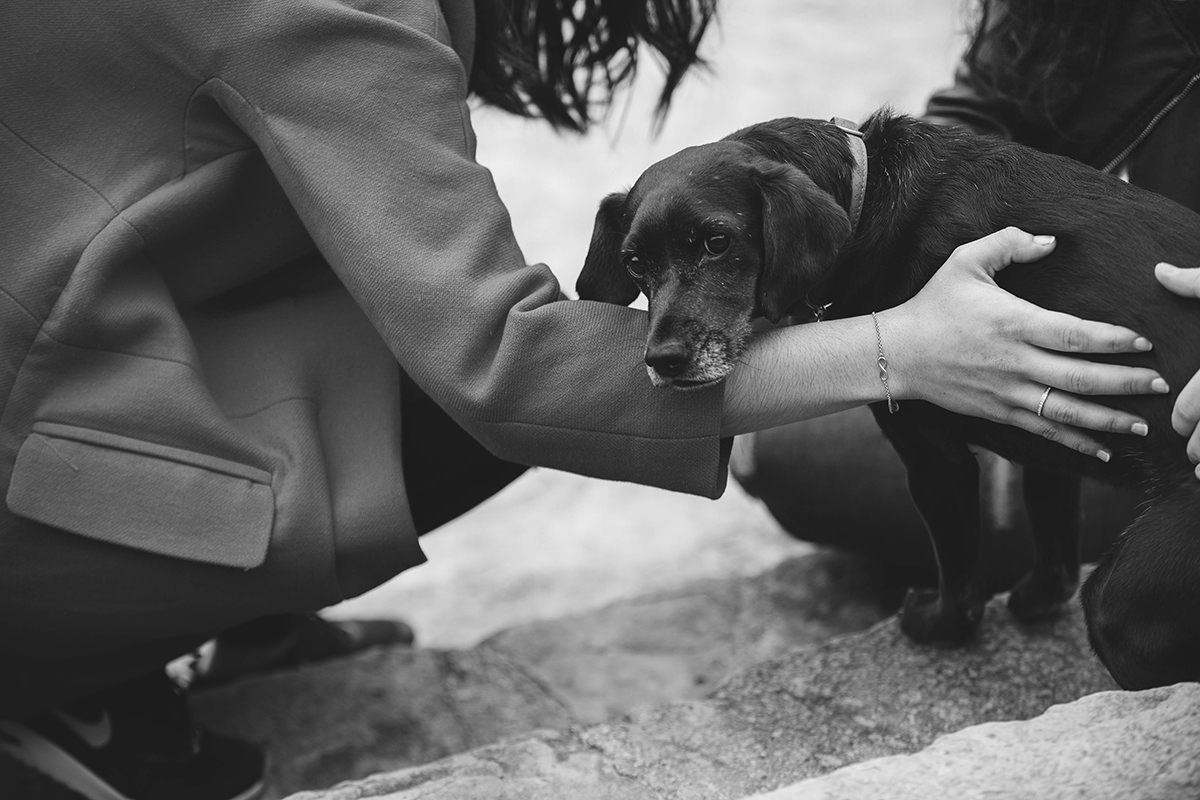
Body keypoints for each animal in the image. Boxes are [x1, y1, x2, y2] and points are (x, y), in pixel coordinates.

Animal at [571, 109, 1200, 690]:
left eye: (717, 241)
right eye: (634, 262)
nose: (663, 360)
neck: (867, 197)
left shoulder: (934, 460)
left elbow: (961, 577)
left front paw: (938, 625)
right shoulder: (1045, 423)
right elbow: (1054, 535)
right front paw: (1036, 599)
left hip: (1123, 603)